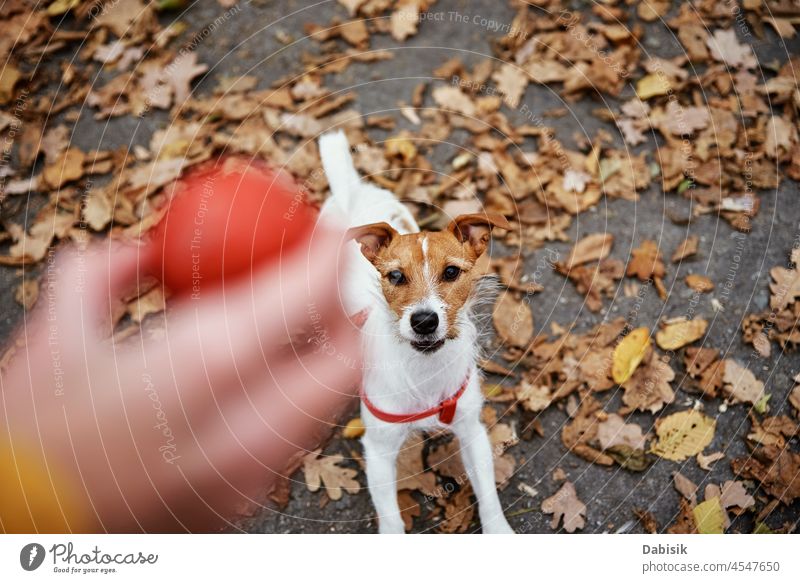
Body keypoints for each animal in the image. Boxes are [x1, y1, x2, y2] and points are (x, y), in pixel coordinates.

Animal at [318, 131, 512, 532]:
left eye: (452, 272)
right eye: (395, 276)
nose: (424, 321)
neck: (423, 368)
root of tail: (352, 189)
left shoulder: (472, 431)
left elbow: (488, 496)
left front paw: (499, 529)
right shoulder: (378, 451)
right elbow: (391, 520)